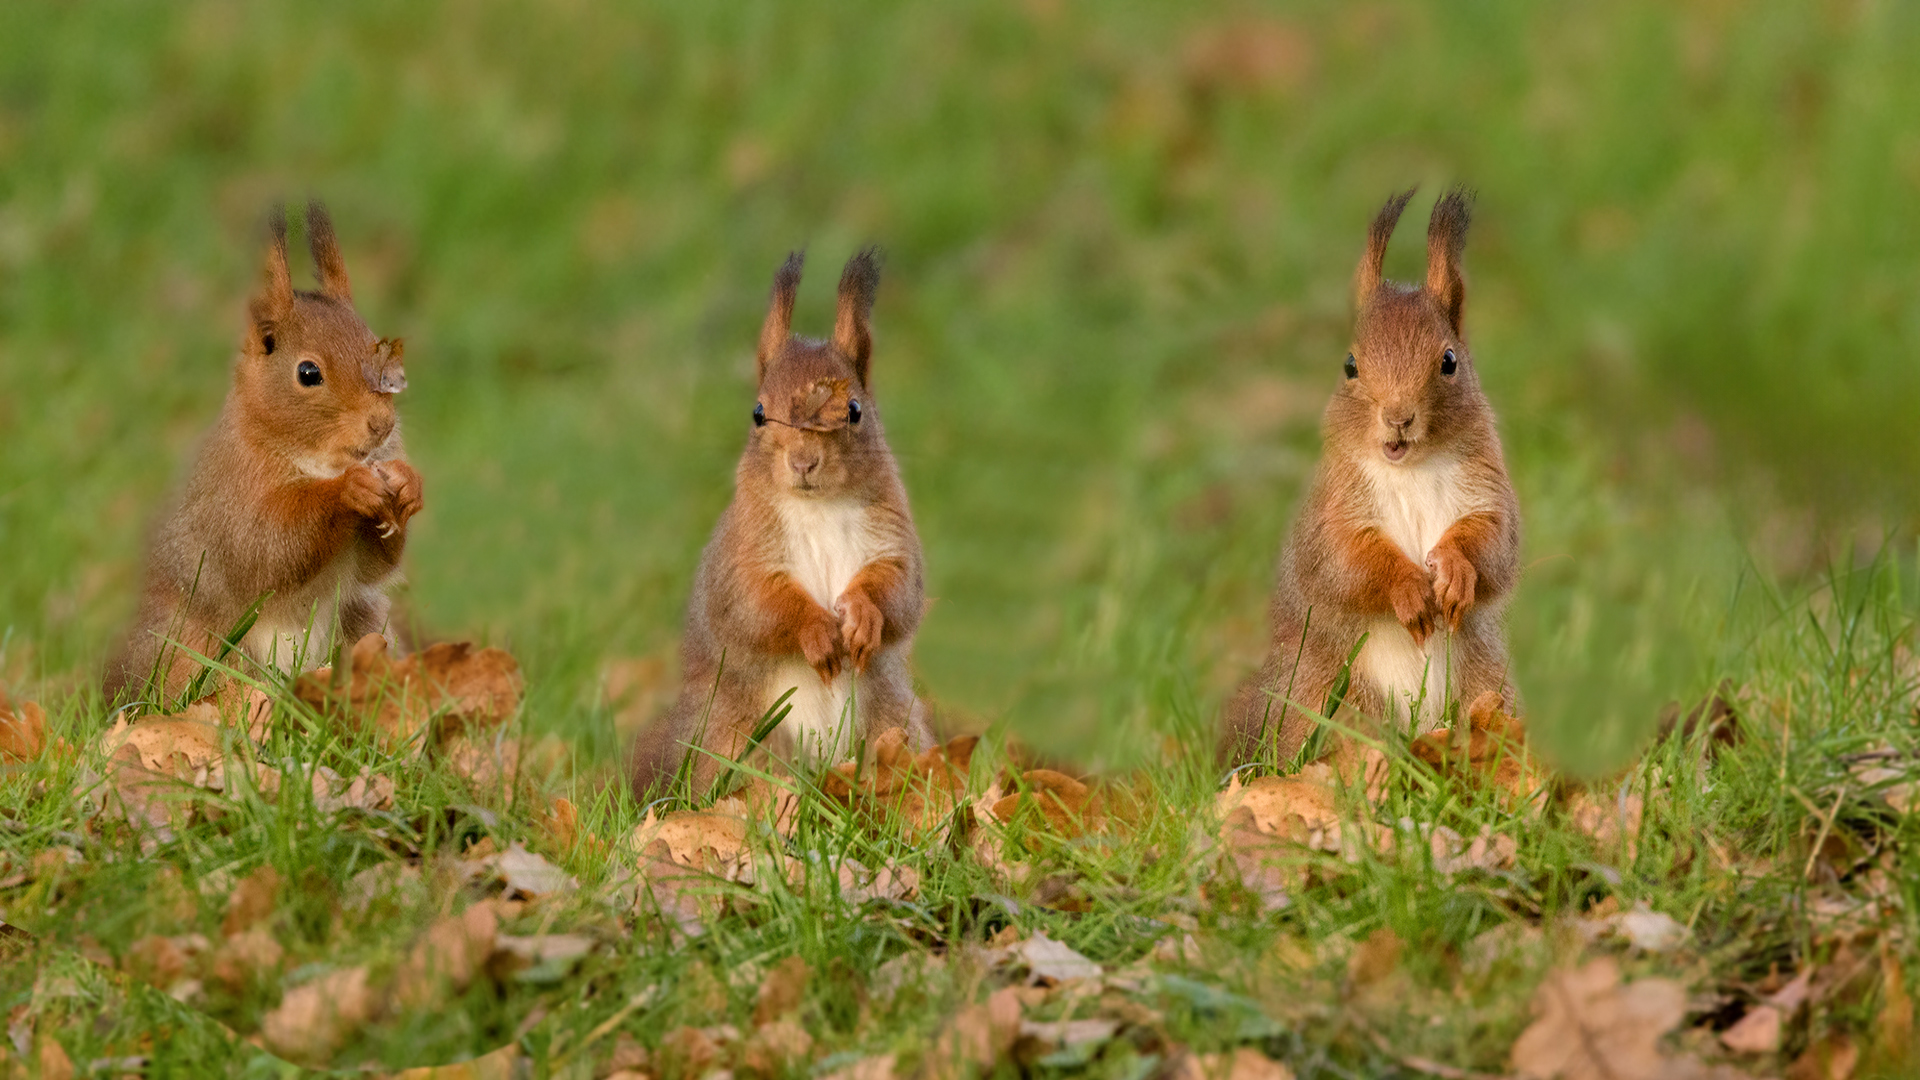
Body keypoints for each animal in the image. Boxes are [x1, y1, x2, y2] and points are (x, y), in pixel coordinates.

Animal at [105, 203, 424, 707]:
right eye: (308, 373)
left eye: (380, 353)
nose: (382, 425)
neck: (317, 459)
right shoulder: (230, 498)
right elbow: (267, 546)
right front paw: (348, 491)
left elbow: (375, 566)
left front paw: (408, 485)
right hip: (191, 651)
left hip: (364, 630)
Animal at [629, 247, 929, 795]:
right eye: (758, 413)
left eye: (855, 410)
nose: (803, 462)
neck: (819, 508)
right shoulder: (742, 554)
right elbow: (758, 605)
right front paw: (816, 631)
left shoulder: (893, 542)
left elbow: (899, 594)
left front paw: (862, 615)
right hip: (735, 738)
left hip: (896, 726)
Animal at [1221, 187, 1520, 757]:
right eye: (1350, 365)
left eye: (1449, 361)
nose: (1398, 418)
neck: (1411, 469)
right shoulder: (1332, 511)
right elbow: (1344, 562)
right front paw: (1406, 587)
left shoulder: (1489, 493)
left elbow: (1494, 548)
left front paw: (1454, 570)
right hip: (1330, 701)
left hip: (1488, 686)